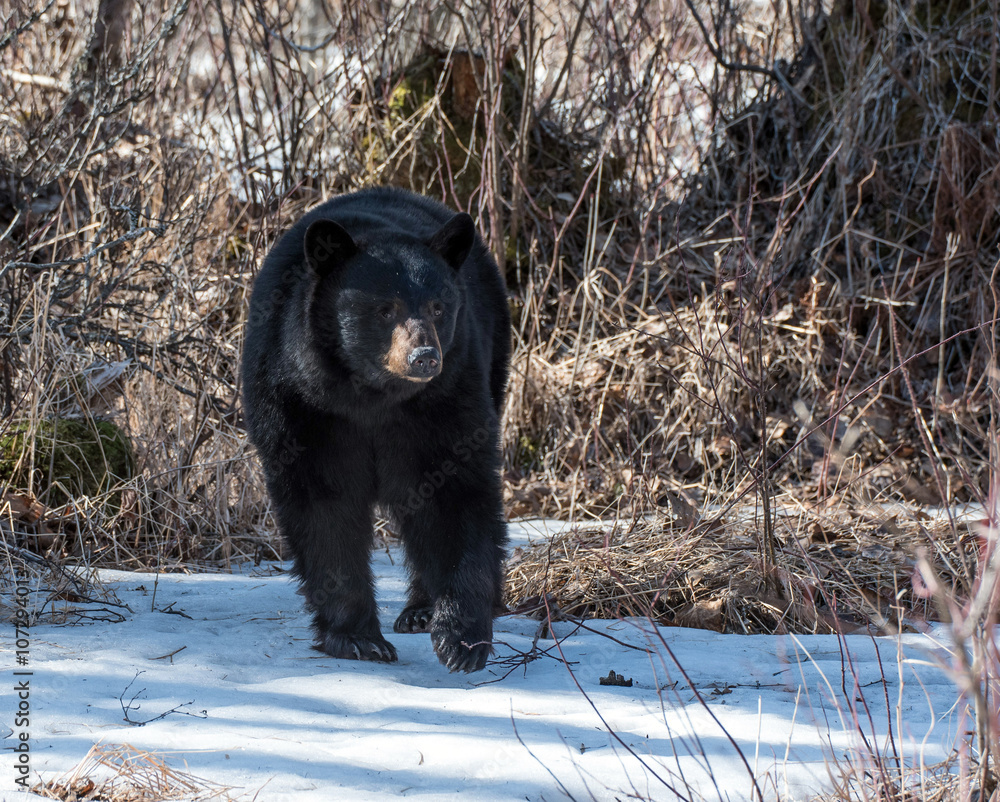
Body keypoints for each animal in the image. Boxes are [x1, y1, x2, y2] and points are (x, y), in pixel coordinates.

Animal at [241, 187, 510, 673]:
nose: (425, 357)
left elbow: (454, 493)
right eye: (385, 309)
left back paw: (420, 609)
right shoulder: (301, 403)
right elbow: (324, 504)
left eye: (438, 307)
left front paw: (461, 637)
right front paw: (358, 637)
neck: (370, 396)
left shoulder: (447, 397)